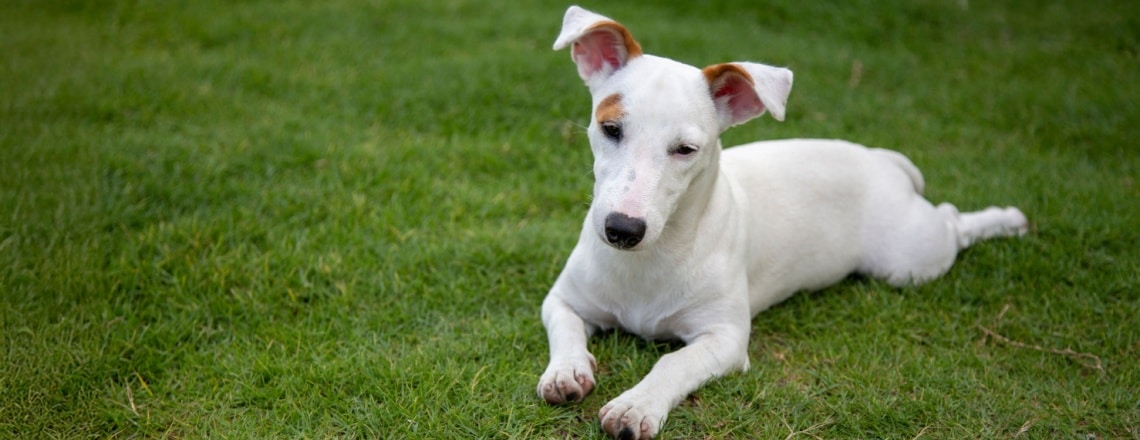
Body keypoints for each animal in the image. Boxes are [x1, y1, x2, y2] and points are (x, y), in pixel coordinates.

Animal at [538, 5, 1030, 437]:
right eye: (610, 129)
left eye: (685, 150)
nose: (622, 230)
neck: (651, 257)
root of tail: (878, 158)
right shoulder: (562, 299)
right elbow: (565, 328)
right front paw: (567, 371)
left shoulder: (724, 339)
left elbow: (673, 362)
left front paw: (637, 405)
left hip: (910, 260)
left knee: (951, 221)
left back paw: (1008, 219)